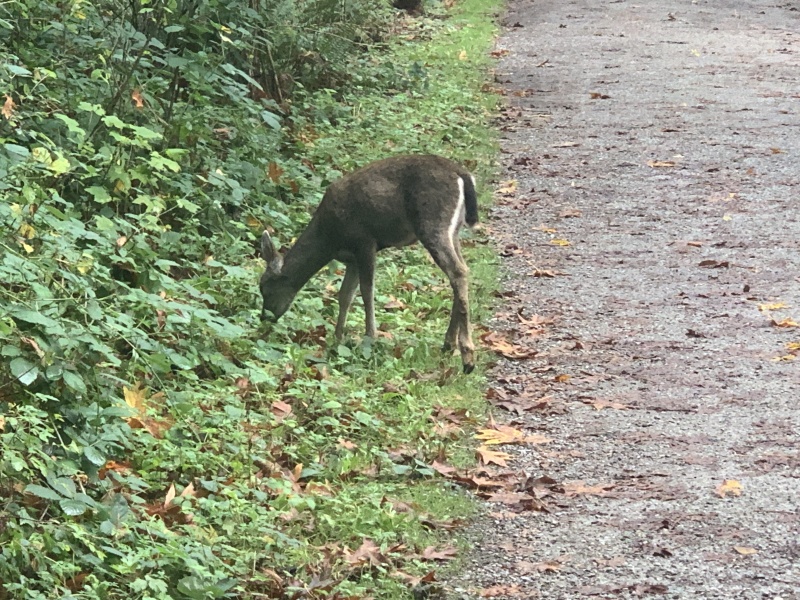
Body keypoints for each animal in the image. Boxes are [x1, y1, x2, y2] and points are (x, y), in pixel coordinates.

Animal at [259, 154, 479, 374]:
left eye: (266, 290)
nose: (264, 318)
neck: (329, 238)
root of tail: (462, 175)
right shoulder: (352, 259)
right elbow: (345, 295)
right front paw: (337, 340)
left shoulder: (364, 241)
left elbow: (367, 291)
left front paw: (370, 338)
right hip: (453, 231)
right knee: (462, 271)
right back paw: (448, 345)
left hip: (432, 222)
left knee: (458, 271)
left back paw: (467, 357)